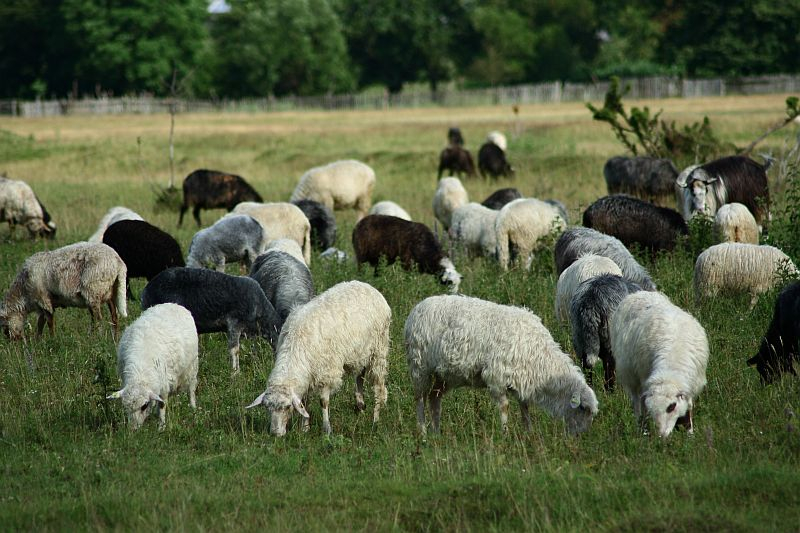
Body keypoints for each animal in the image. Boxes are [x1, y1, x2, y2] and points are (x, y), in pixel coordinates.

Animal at [246, 281, 390, 436]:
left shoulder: (327, 371)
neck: (296, 345)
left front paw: (326, 429)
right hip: (361, 353)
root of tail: (368, 286)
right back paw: (360, 406)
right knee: (360, 377)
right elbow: (303, 402)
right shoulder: (307, 374)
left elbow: (323, 401)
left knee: (379, 387)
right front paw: (304, 428)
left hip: (379, 350)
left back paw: (375, 420)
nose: (275, 434)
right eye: (267, 408)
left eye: (287, 407)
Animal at [404, 294, 598, 435]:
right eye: (583, 409)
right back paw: (422, 432)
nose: (580, 437)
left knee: (434, 398)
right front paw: (504, 434)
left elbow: (524, 407)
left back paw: (436, 432)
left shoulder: (523, 379)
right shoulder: (496, 376)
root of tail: (417, 308)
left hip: (445, 376)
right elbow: (505, 407)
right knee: (420, 399)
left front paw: (529, 433)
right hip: (419, 366)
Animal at [611, 291, 709, 437]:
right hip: (631, 376)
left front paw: (690, 433)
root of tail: (637, 293)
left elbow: (689, 408)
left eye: (671, 406)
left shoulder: (692, 384)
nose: (661, 435)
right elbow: (643, 407)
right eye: (653, 409)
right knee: (637, 402)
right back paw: (641, 428)